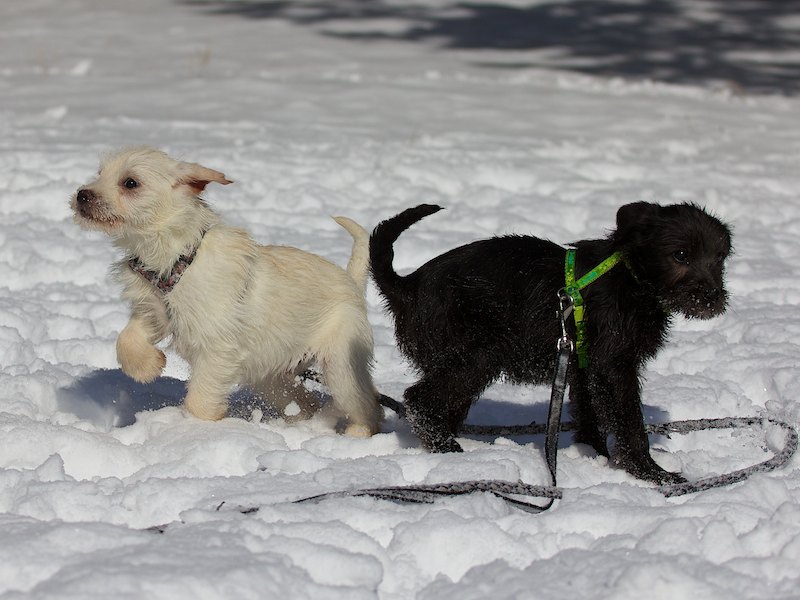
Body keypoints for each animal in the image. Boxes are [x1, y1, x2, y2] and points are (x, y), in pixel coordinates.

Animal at [71, 146, 382, 436]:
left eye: (130, 183)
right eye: (100, 174)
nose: (82, 195)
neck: (177, 258)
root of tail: (352, 281)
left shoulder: (216, 346)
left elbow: (198, 400)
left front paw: (201, 428)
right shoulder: (154, 311)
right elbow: (127, 339)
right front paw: (148, 366)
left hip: (340, 364)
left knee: (367, 404)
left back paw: (356, 435)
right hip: (270, 376)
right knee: (307, 403)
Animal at [370, 202, 732, 483]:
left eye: (720, 258)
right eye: (680, 255)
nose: (712, 297)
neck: (630, 277)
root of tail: (408, 287)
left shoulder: (585, 366)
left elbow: (590, 414)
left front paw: (594, 455)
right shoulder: (614, 367)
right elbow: (630, 422)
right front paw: (652, 474)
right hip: (477, 355)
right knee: (420, 402)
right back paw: (450, 451)